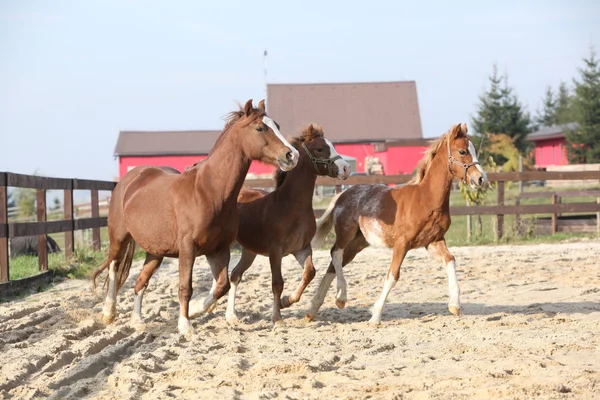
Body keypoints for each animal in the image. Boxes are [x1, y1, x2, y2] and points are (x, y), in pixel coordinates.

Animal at [92, 99, 298, 334]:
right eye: (260, 128)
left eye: (277, 126)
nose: (292, 155)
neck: (209, 193)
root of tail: (129, 180)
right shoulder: (188, 249)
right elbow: (185, 287)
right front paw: (185, 326)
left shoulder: (218, 250)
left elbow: (222, 285)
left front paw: (199, 308)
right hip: (119, 238)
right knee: (114, 267)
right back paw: (109, 313)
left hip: (155, 252)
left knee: (140, 282)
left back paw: (137, 321)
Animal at [223, 123, 350, 326]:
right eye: (320, 149)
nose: (345, 168)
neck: (291, 206)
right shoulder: (276, 251)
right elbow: (277, 283)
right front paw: (277, 319)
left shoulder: (301, 249)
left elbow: (310, 272)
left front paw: (286, 301)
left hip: (249, 250)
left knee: (235, 275)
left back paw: (230, 315)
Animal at [304, 122, 488, 324]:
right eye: (463, 151)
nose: (481, 179)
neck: (427, 199)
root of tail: (343, 194)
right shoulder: (402, 243)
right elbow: (393, 275)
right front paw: (375, 316)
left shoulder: (433, 241)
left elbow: (450, 260)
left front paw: (454, 305)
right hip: (346, 233)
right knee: (335, 254)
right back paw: (341, 297)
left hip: (358, 243)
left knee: (333, 264)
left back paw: (313, 309)